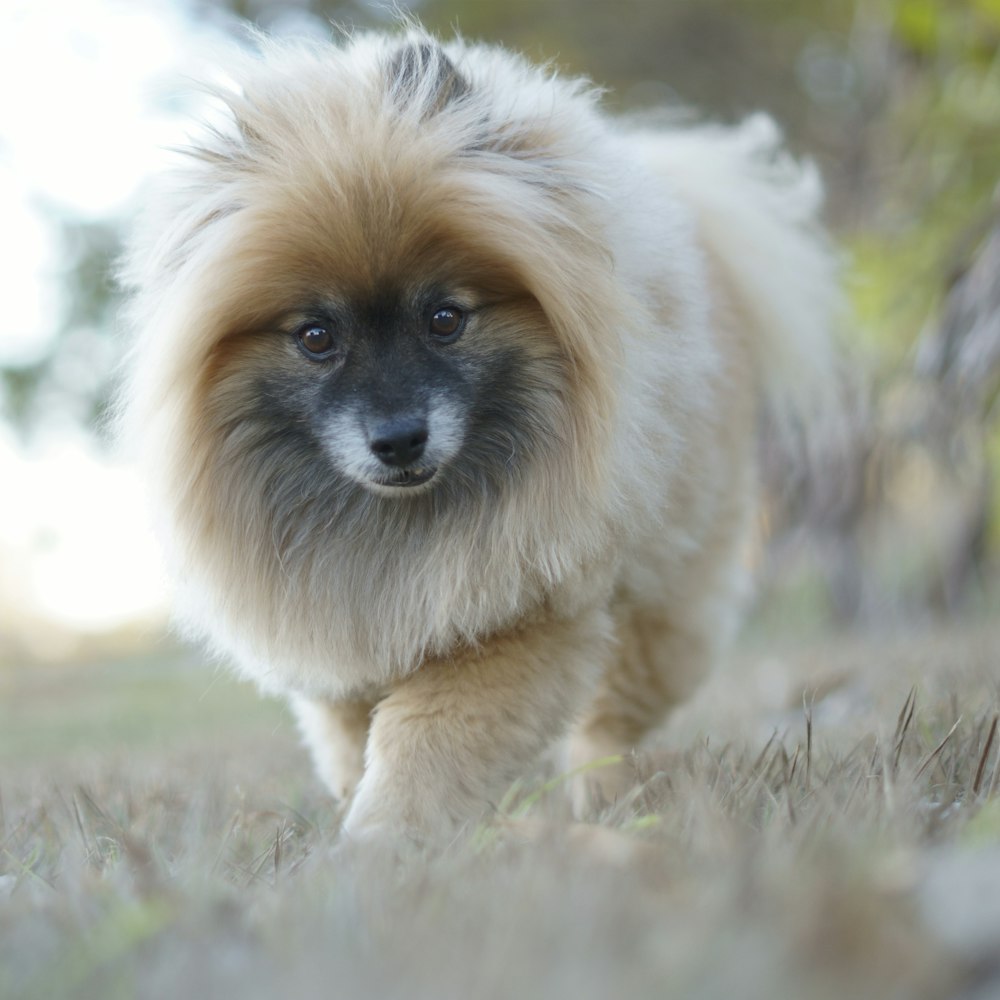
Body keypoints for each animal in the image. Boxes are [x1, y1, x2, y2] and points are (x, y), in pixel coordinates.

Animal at [121, 31, 844, 840]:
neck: (398, 524)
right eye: (316, 337)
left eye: (444, 319)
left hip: (665, 596)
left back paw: (601, 804)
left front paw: (380, 840)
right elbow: (350, 740)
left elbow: (421, 746)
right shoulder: (340, 639)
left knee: (610, 718)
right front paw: (362, 811)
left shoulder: (521, 619)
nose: (399, 438)